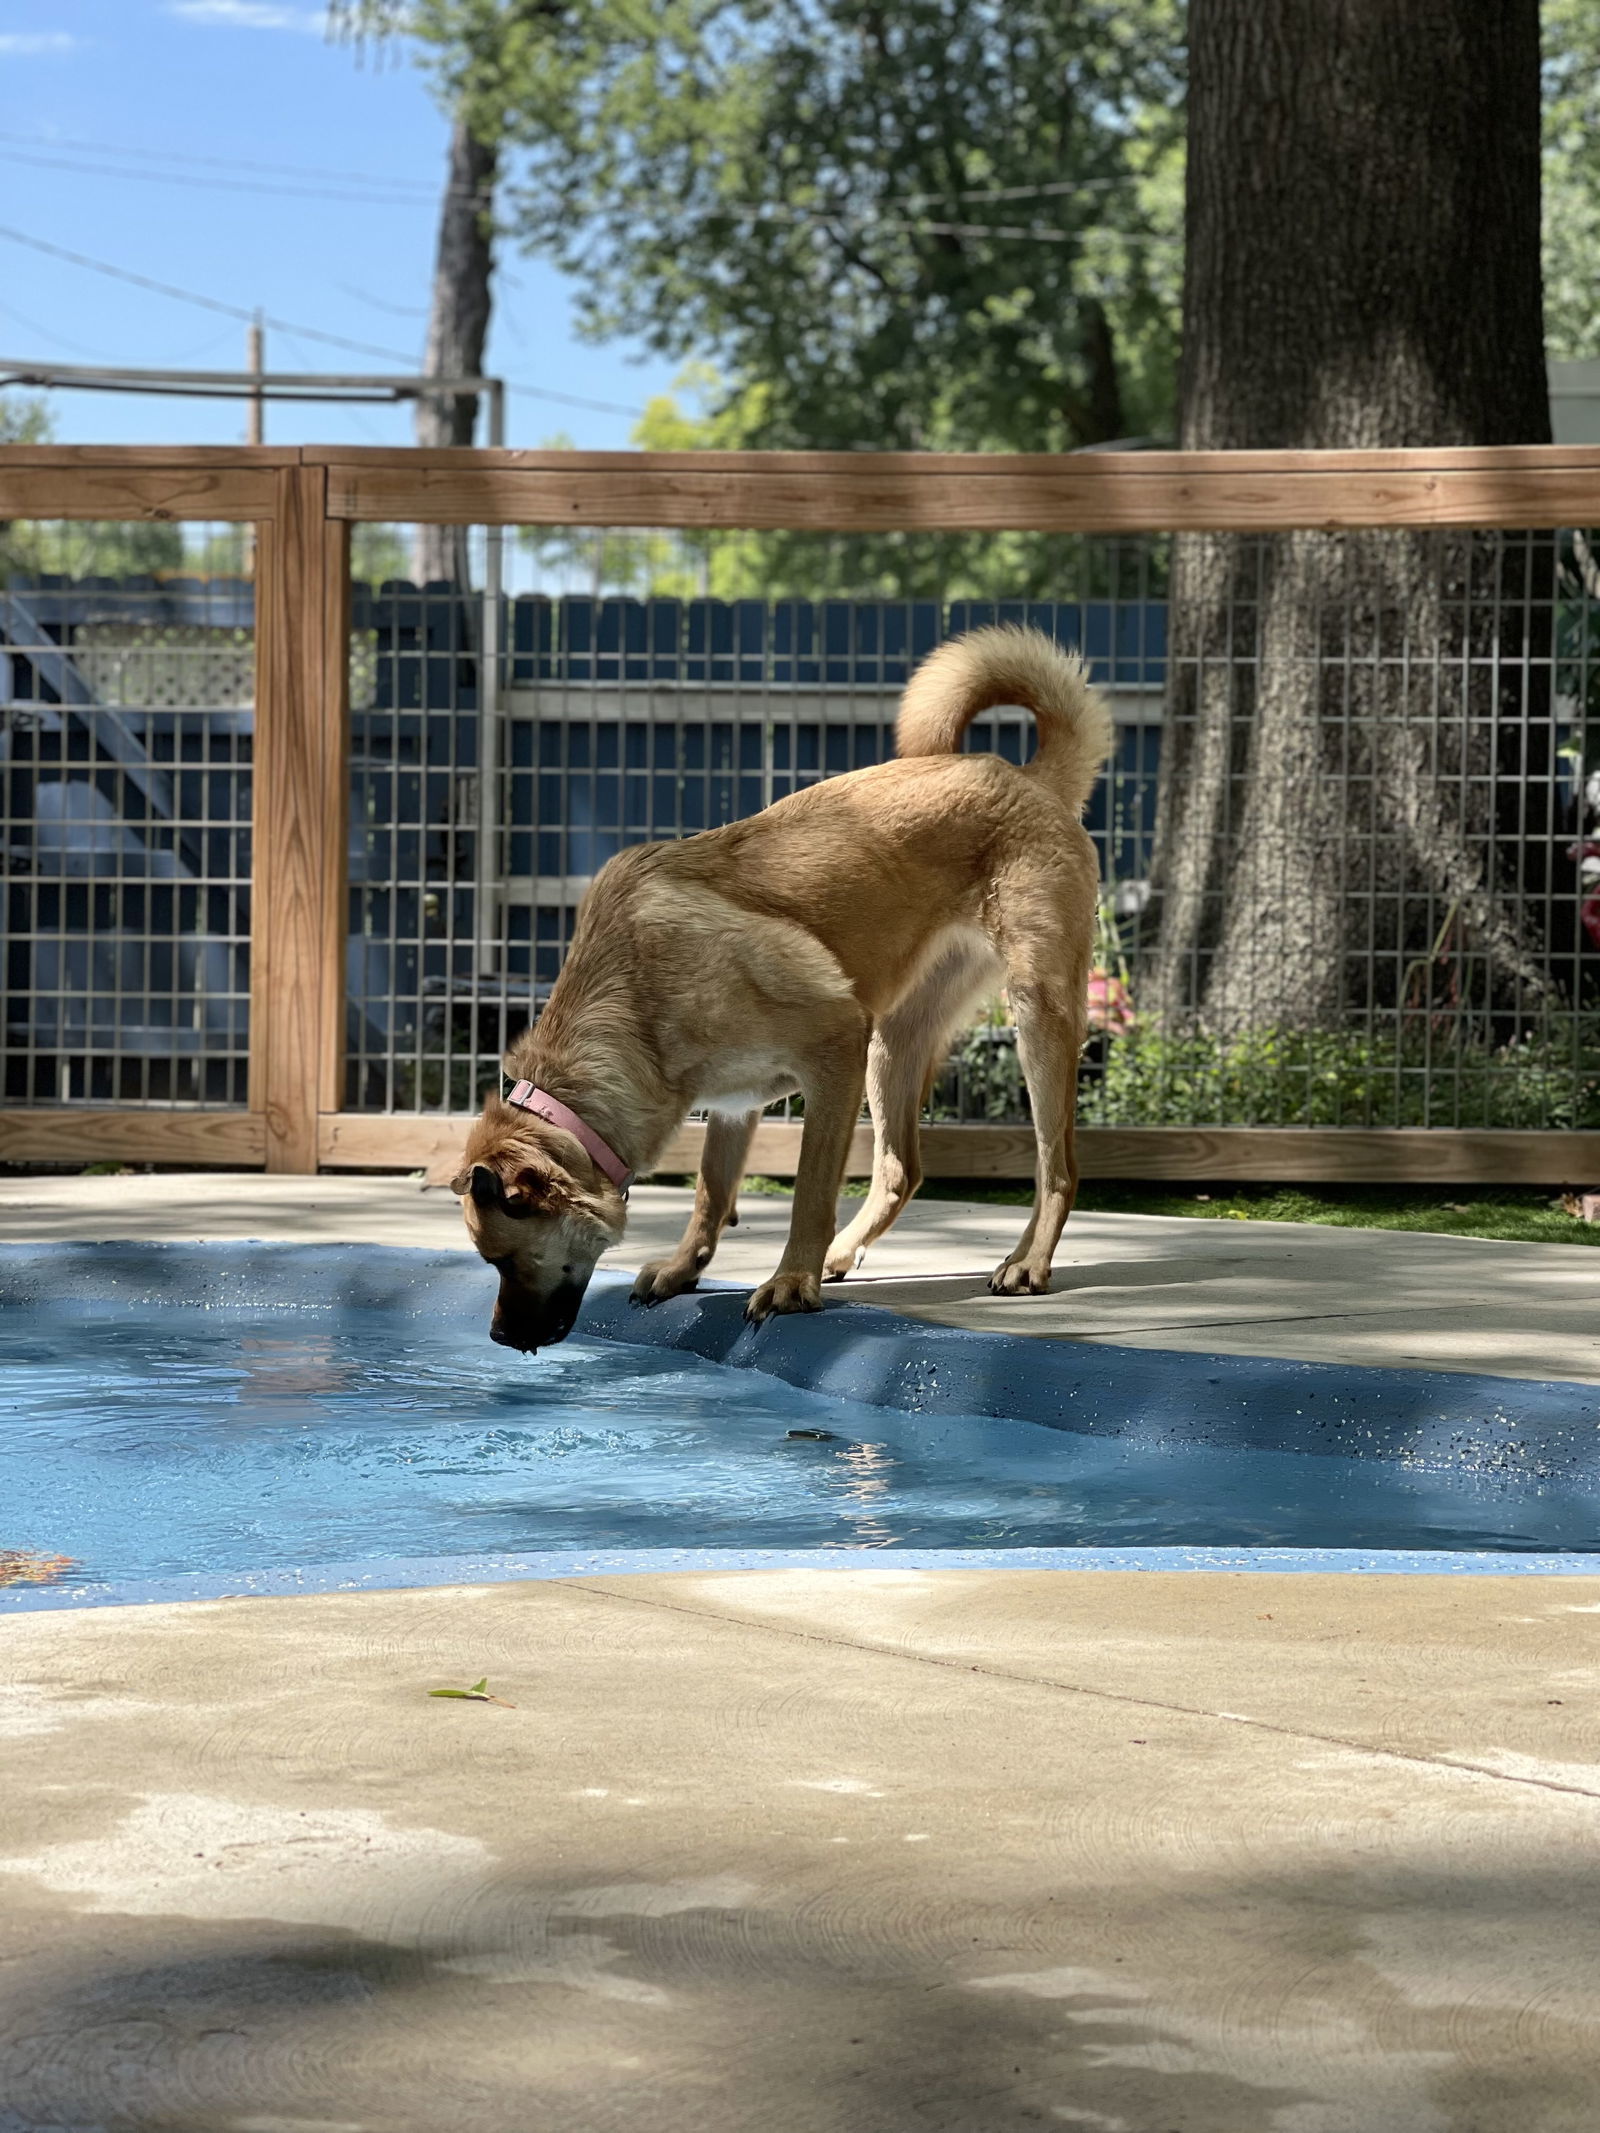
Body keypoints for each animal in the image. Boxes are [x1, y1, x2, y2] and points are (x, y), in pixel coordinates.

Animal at [452, 622, 1100, 1348]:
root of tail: (1025, 777)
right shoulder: (735, 1103)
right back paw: (845, 1254)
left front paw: (791, 1283)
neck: (634, 999)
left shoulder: (836, 1047)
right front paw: (684, 1267)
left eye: (503, 1257)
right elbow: (711, 1191)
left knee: (1057, 1166)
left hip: (1034, 1018)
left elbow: (810, 1191)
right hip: (894, 1043)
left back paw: (1027, 1261)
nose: (498, 1337)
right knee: (901, 1169)